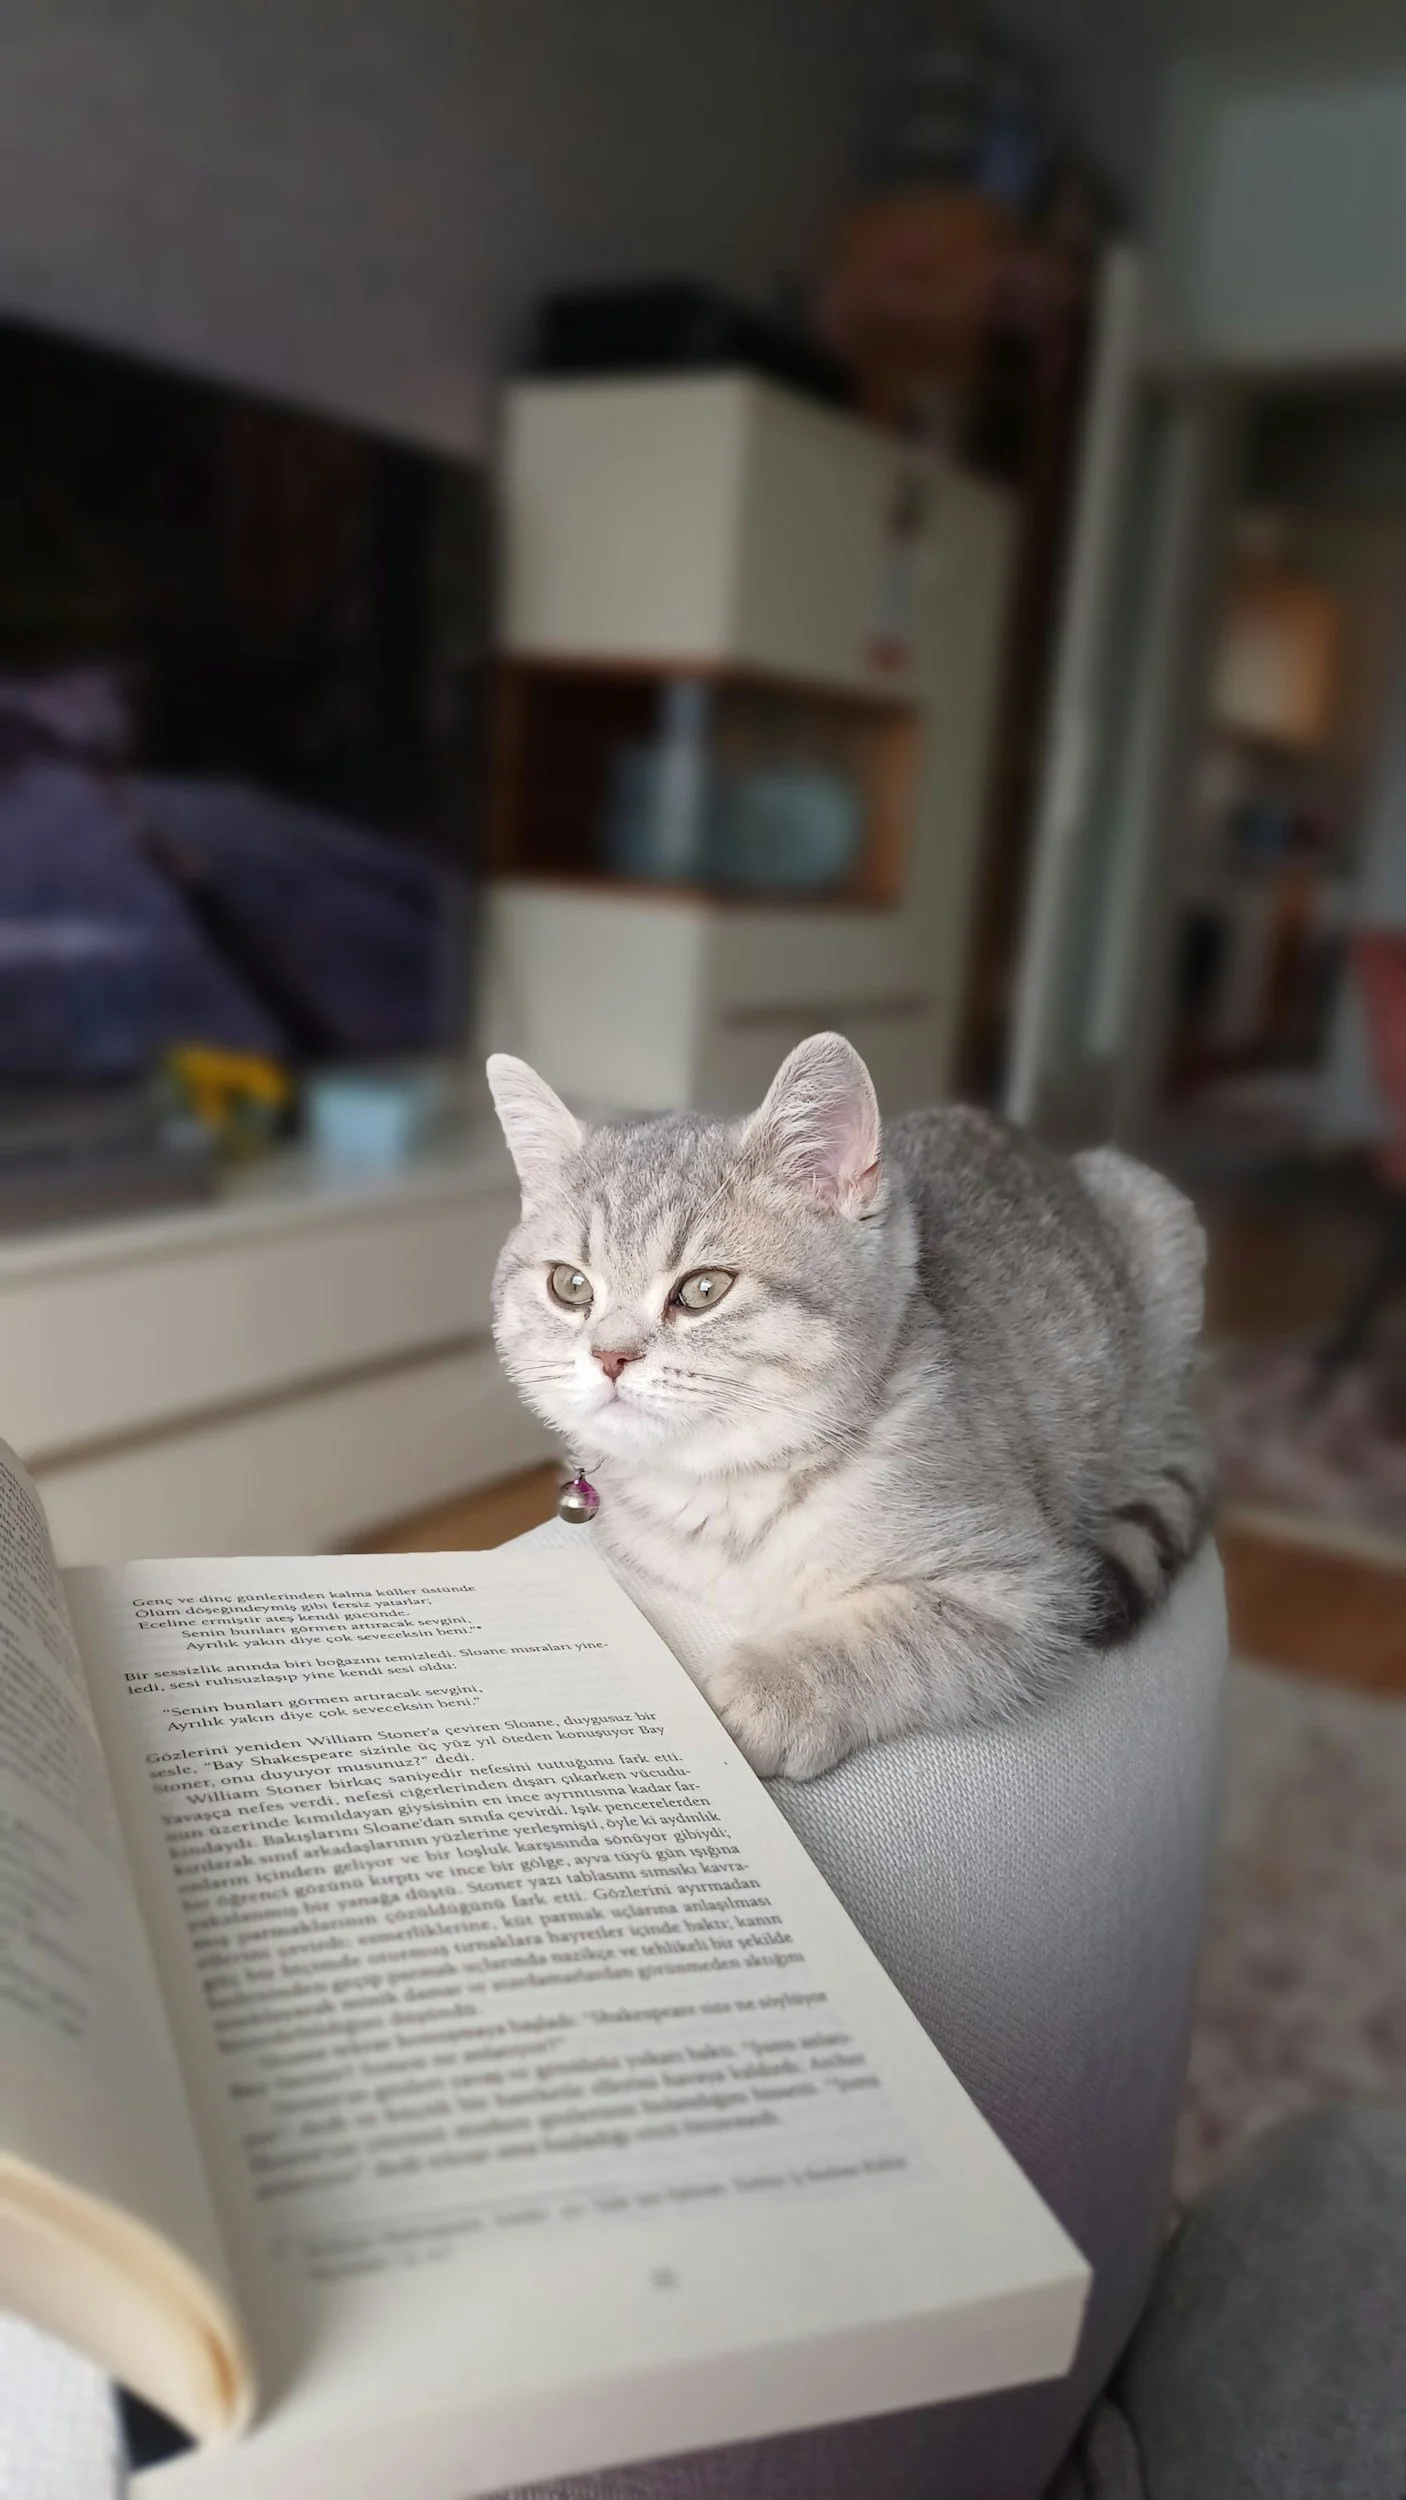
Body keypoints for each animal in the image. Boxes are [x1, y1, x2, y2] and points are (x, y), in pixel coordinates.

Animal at [488, 1033, 1211, 1781]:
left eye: (703, 1289)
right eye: (570, 1286)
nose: (610, 1355)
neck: (726, 1491)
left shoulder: (1032, 1587)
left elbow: (893, 1636)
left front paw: (765, 1695)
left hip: (1159, 1223)